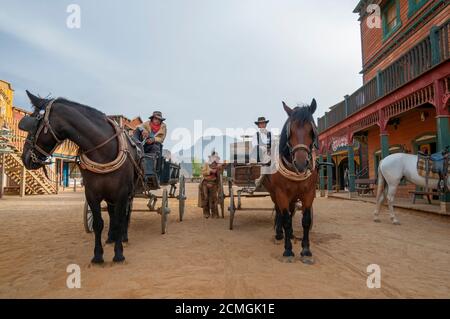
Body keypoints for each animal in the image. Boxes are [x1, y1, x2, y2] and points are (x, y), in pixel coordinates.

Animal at [19, 91, 142, 264]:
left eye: (34, 122)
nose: (25, 158)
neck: (102, 152)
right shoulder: (91, 193)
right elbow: (98, 223)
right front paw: (98, 255)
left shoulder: (122, 193)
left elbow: (119, 220)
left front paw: (119, 254)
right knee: (112, 214)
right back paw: (111, 237)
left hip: (128, 193)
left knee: (125, 214)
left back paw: (123, 236)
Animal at [264, 100, 320, 264]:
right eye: (290, 131)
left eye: (312, 130)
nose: (301, 163)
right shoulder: (281, 193)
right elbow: (286, 220)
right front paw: (288, 250)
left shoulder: (309, 193)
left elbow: (306, 220)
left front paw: (306, 250)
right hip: (274, 193)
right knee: (280, 212)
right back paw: (279, 234)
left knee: (290, 210)